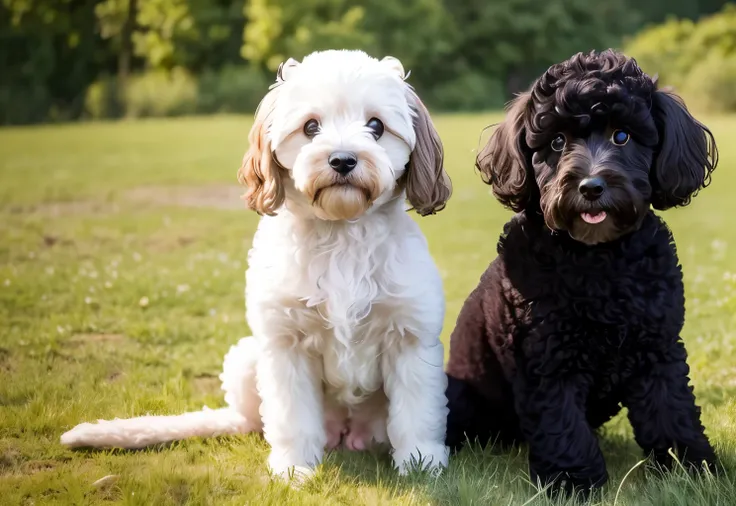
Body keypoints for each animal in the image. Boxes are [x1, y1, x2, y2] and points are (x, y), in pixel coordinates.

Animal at [61, 49, 454, 480]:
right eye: (311, 127)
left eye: (376, 126)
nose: (342, 160)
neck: (342, 234)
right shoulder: (285, 344)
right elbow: (291, 417)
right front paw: (294, 468)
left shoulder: (410, 339)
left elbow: (416, 414)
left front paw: (420, 463)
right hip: (247, 358)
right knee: (255, 421)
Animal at [446, 50, 716, 494]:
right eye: (556, 142)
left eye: (622, 136)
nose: (590, 186)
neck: (597, 261)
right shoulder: (547, 359)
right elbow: (562, 425)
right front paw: (573, 481)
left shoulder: (658, 348)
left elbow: (671, 411)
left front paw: (691, 469)